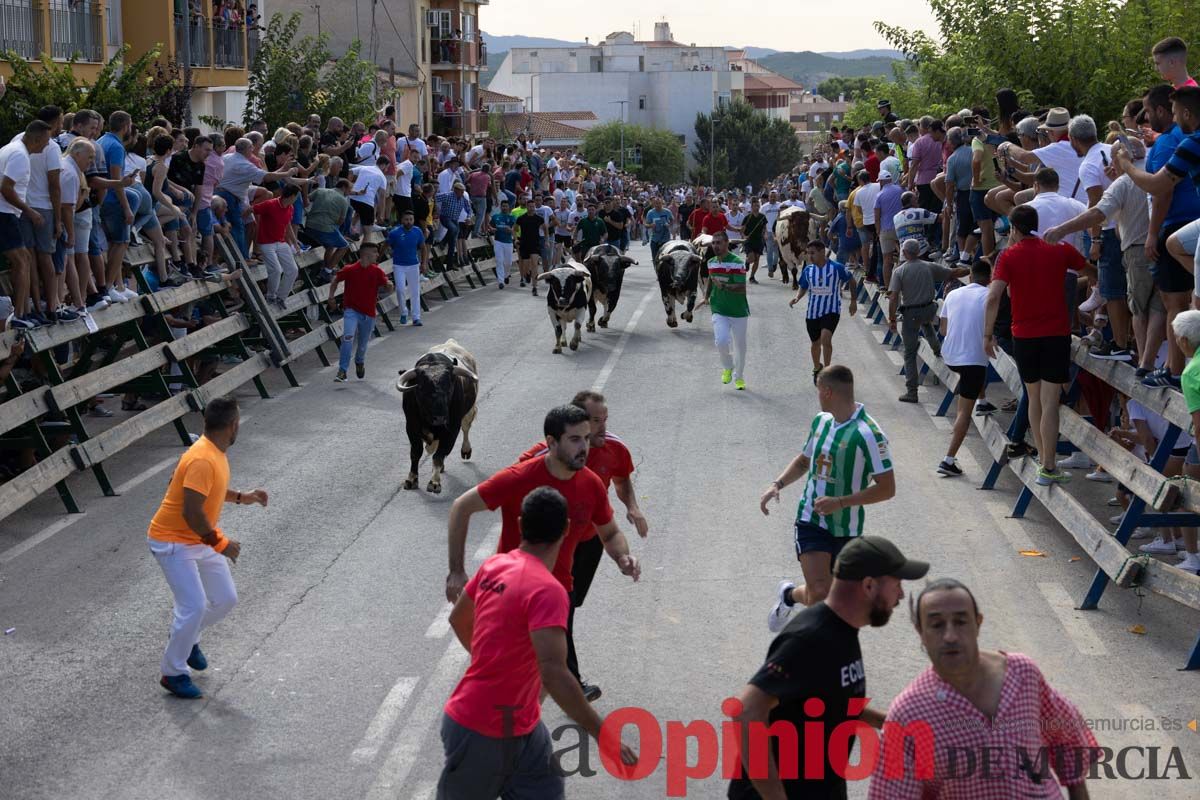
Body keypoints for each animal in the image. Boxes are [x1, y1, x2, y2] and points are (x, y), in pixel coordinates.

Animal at [398, 340, 482, 494]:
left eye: (449, 388)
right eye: (421, 388)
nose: (440, 418)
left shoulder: (452, 428)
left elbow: (439, 455)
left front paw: (434, 482)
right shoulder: (411, 426)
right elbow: (416, 452)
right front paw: (411, 479)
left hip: (467, 414)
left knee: (466, 429)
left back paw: (465, 450)